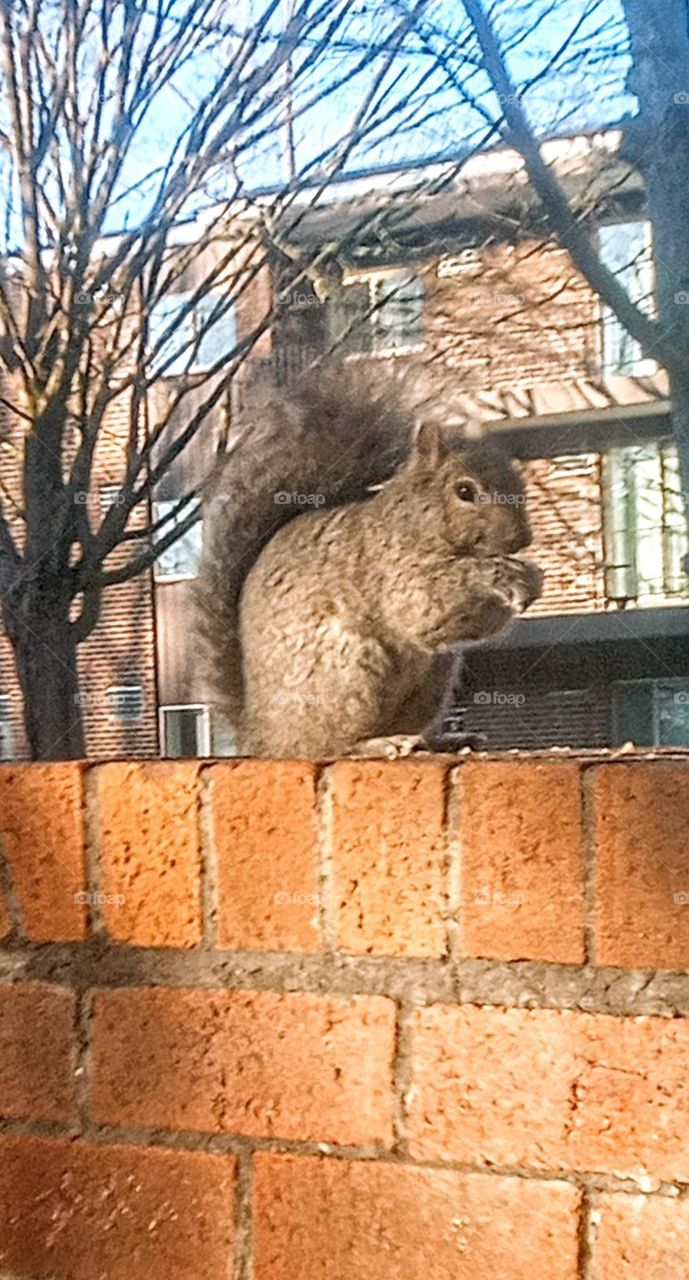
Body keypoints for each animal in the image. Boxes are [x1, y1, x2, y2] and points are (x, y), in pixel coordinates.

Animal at [197, 363, 543, 758]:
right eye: (465, 491)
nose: (522, 539)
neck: (417, 521)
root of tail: (261, 738)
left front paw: (531, 576)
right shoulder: (389, 568)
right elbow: (422, 608)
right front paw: (499, 574)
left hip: (434, 676)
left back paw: (443, 740)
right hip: (349, 671)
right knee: (332, 746)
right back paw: (379, 742)